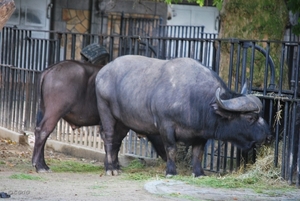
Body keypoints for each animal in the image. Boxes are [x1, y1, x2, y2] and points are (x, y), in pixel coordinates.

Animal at [32, 60, 166, 173]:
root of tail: (51, 69)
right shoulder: (119, 125)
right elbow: (115, 142)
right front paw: (113, 167)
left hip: (43, 111)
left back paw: (42, 164)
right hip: (54, 112)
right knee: (43, 132)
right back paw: (40, 166)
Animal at [95, 54, 272, 176]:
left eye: (261, 114)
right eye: (250, 118)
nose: (268, 136)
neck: (195, 99)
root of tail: (101, 73)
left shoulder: (201, 134)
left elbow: (198, 153)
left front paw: (199, 173)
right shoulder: (165, 125)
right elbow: (171, 149)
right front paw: (171, 171)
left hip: (123, 122)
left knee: (117, 141)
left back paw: (114, 166)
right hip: (106, 111)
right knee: (109, 138)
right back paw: (111, 169)